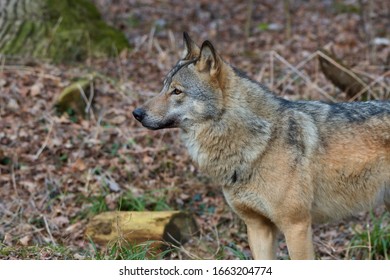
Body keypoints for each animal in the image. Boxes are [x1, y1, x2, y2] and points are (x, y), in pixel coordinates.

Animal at [132, 33, 390, 260]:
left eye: (177, 91)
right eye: (163, 87)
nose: (137, 113)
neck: (259, 143)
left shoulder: (296, 226)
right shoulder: (258, 227)